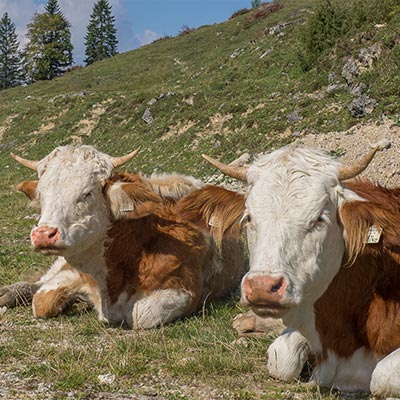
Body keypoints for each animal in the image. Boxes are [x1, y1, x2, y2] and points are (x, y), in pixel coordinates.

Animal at [3, 145, 244, 328]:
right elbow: (41, 301)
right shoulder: (72, 272)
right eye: (42, 195)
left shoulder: (185, 288)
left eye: (87, 193)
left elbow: (139, 314)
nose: (44, 234)